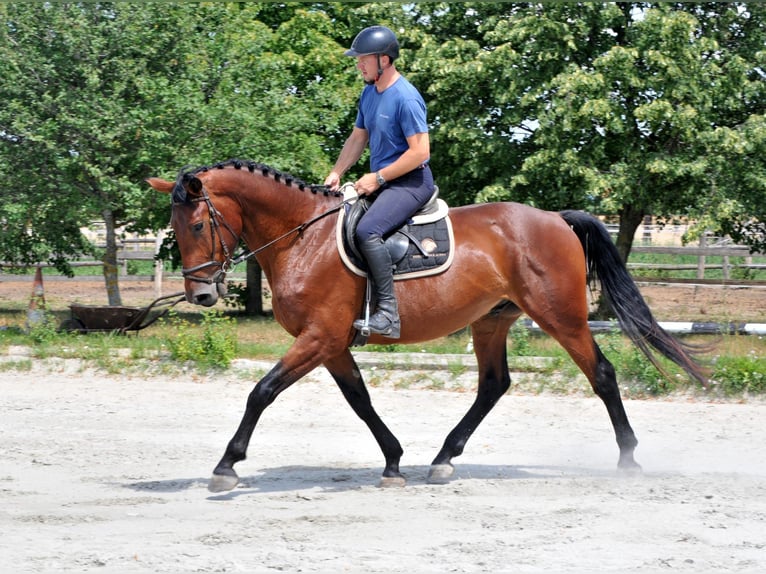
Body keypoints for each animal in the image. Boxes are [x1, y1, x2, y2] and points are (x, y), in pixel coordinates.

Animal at [147, 160, 712, 492]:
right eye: (174, 228)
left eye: (196, 224)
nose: (201, 295)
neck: (302, 239)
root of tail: (554, 218)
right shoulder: (333, 344)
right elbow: (360, 400)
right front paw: (394, 461)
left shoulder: (319, 338)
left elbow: (261, 391)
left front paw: (226, 465)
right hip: (491, 322)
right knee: (494, 385)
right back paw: (443, 458)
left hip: (561, 317)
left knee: (602, 375)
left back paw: (629, 459)